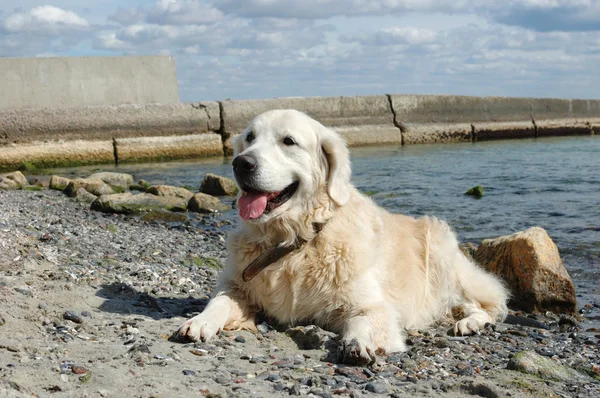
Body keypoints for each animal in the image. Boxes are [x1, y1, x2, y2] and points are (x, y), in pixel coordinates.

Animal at [176, 109, 508, 364]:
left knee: (489, 305)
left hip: (442, 256)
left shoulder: (372, 304)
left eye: (288, 141)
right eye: (249, 138)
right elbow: (220, 301)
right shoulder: (238, 285)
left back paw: (469, 323)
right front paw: (200, 321)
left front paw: (360, 342)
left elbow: (365, 319)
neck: (293, 242)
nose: (241, 163)